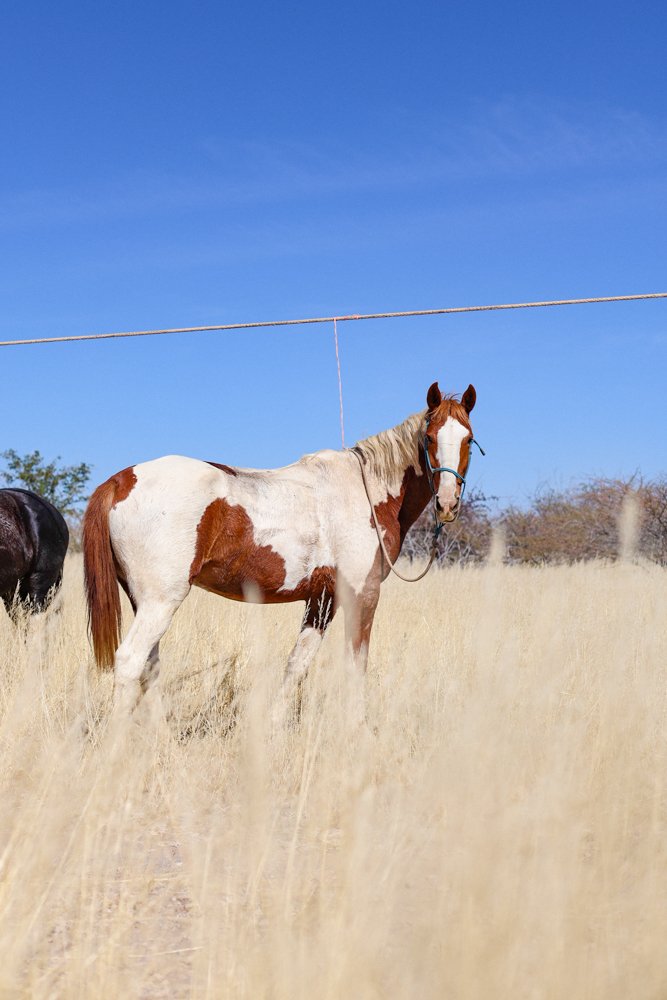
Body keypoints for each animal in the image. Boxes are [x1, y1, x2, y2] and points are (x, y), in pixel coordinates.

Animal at [82, 381, 478, 718]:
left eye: (469, 440)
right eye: (429, 437)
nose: (447, 503)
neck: (367, 490)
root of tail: (120, 480)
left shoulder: (322, 599)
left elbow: (297, 664)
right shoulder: (362, 595)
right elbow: (356, 663)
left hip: (145, 602)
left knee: (149, 666)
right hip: (161, 601)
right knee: (130, 661)